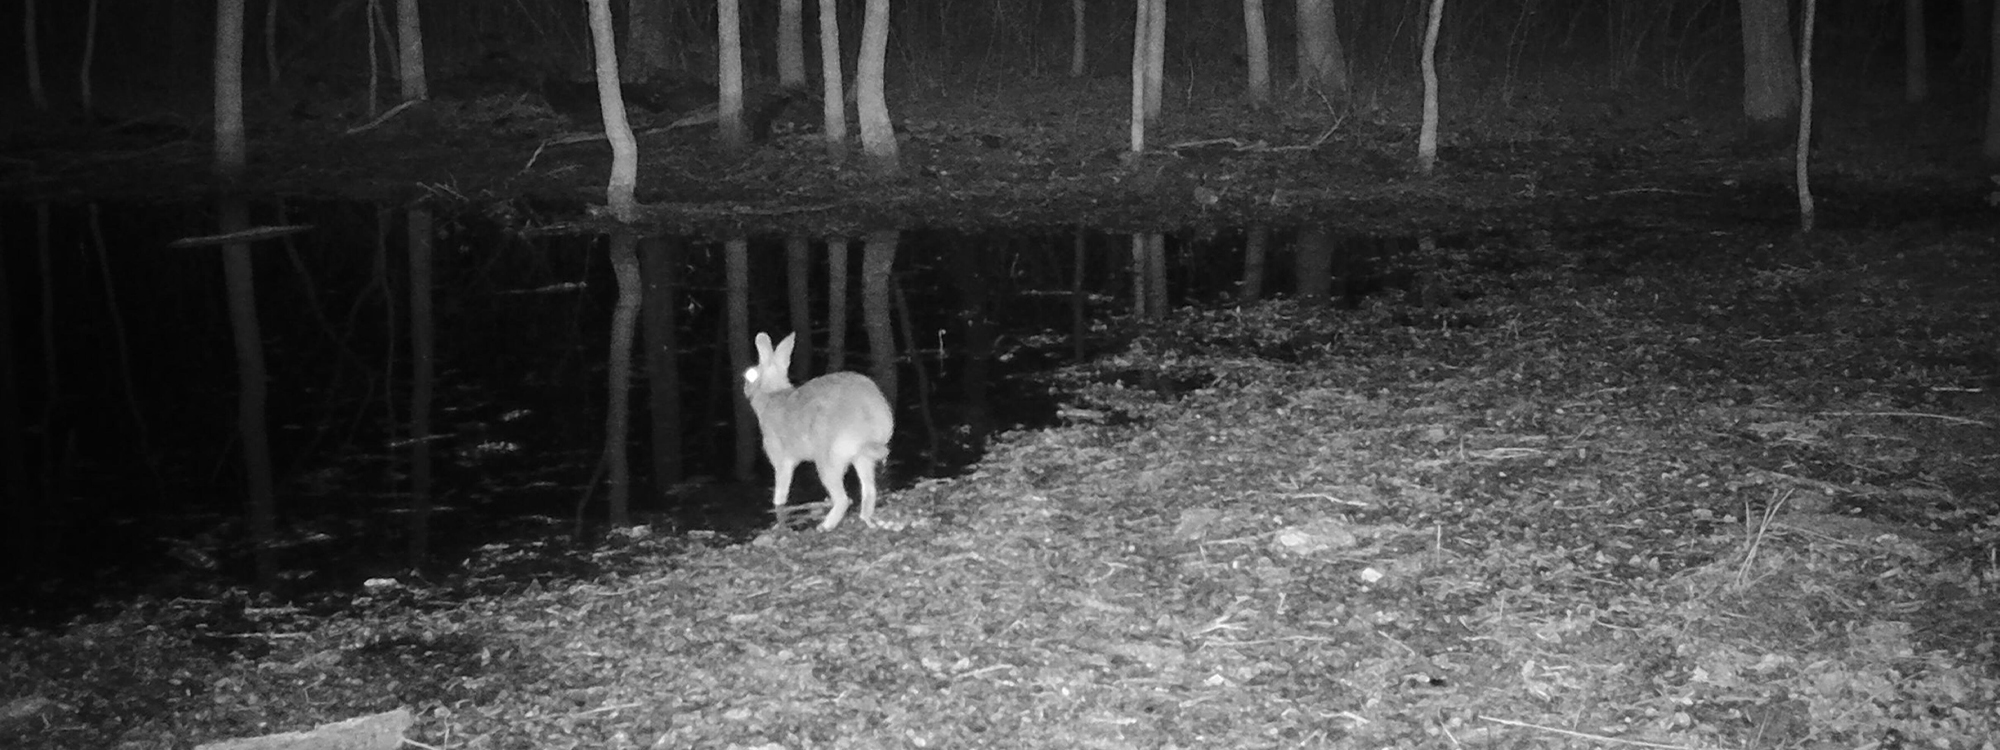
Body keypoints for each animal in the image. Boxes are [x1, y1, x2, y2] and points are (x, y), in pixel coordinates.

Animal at [742, 332, 895, 531]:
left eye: (750, 375)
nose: (745, 388)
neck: (771, 394)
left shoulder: (782, 461)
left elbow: (781, 492)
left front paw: (777, 506)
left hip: (828, 460)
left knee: (843, 499)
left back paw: (824, 526)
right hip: (861, 458)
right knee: (869, 490)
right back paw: (865, 518)